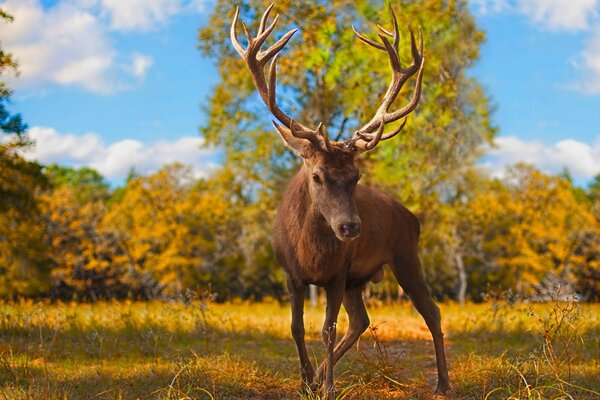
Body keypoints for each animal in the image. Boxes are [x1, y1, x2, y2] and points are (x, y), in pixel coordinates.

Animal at [230, 3, 450, 396]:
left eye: (356, 176)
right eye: (318, 175)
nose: (350, 228)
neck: (311, 255)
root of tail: (412, 217)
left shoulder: (338, 273)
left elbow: (327, 331)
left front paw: (328, 388)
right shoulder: (291, 273)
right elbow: (296, 327)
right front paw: (306, 382)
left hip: (405, 255)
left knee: (431, 311)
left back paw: (442, 383)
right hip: (359, 279)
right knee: (361, 320)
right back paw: (318, 376)